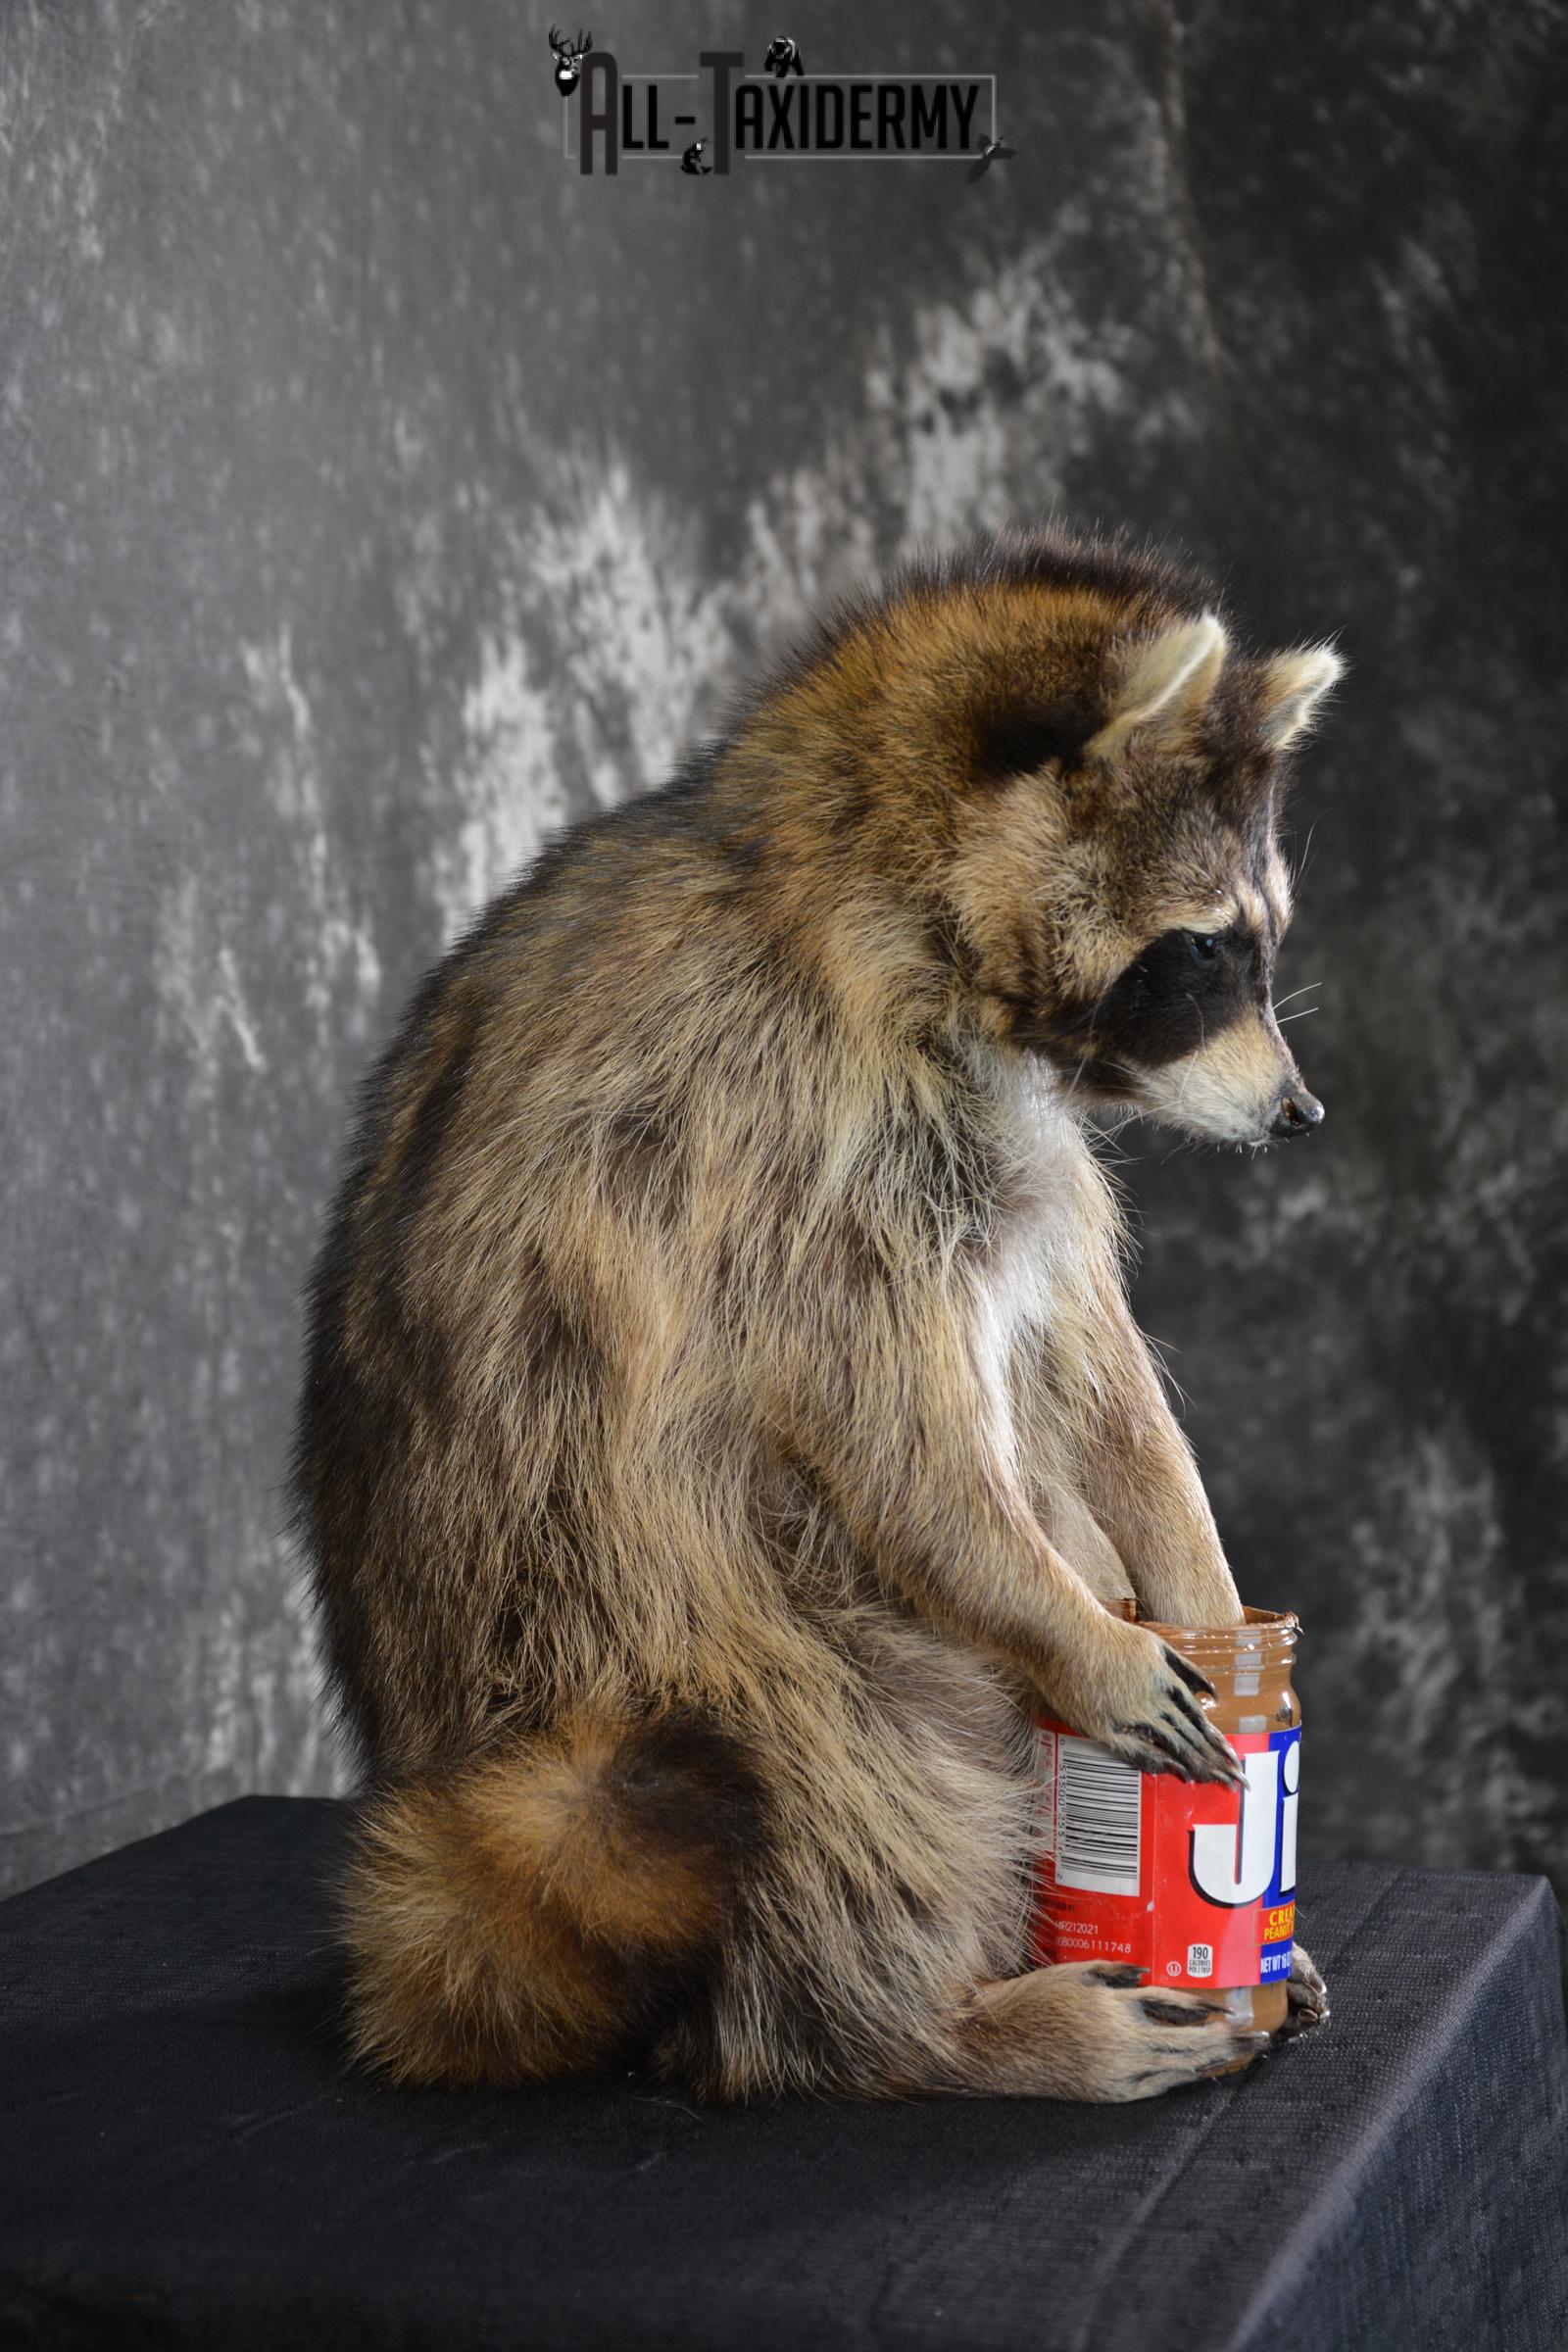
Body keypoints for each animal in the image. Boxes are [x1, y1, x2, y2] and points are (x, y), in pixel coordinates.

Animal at [293, 527, 1339, 2102]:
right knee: (849, 1793)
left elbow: (1092, 1378)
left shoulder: (1016, 1150)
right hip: (689, 1669)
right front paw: (1067, 1626)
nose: (1298, 1114)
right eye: (1204, 953)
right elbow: (894, 1440)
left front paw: (1218, 1617)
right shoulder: (783, 1134)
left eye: (1257, 944)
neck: (867, 875)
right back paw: (931, 2028)